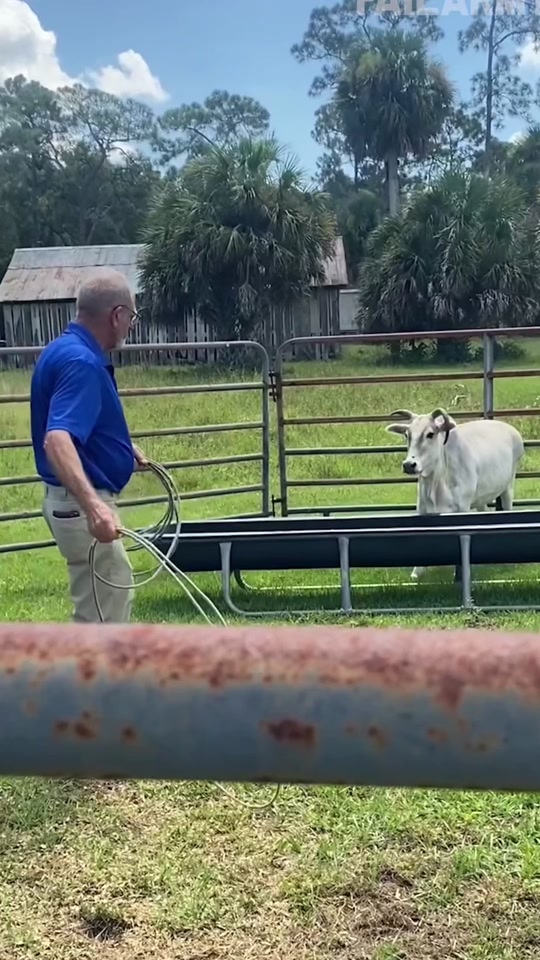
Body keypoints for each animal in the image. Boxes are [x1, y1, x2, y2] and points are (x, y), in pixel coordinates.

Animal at [385, 407, 524, 580]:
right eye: (407, 434)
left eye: (430, 434)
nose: (409, 465)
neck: (438, 482)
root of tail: (510, 429)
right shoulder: (423, 508)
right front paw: (416, 572)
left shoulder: (462, 508)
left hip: (508, 485)